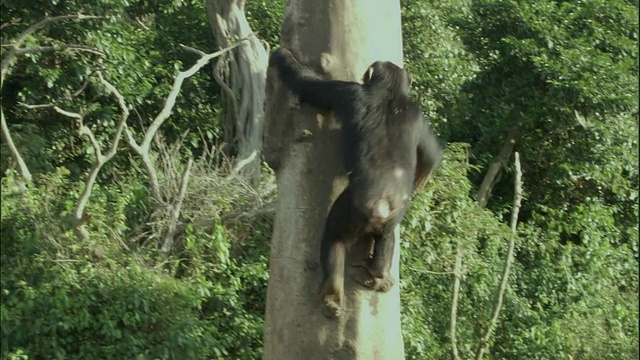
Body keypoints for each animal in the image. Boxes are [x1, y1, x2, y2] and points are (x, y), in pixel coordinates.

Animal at [268, 47, 442, 318]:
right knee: (387, 238)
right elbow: (431, 154)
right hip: (391, 218)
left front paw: (283, 56)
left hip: (350, 209)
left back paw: (332, 292)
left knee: (334, 238)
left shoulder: (348, 91)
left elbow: (308, 84)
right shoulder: (418, 115)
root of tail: (380, 207)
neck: (390, 93)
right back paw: (377, 274)